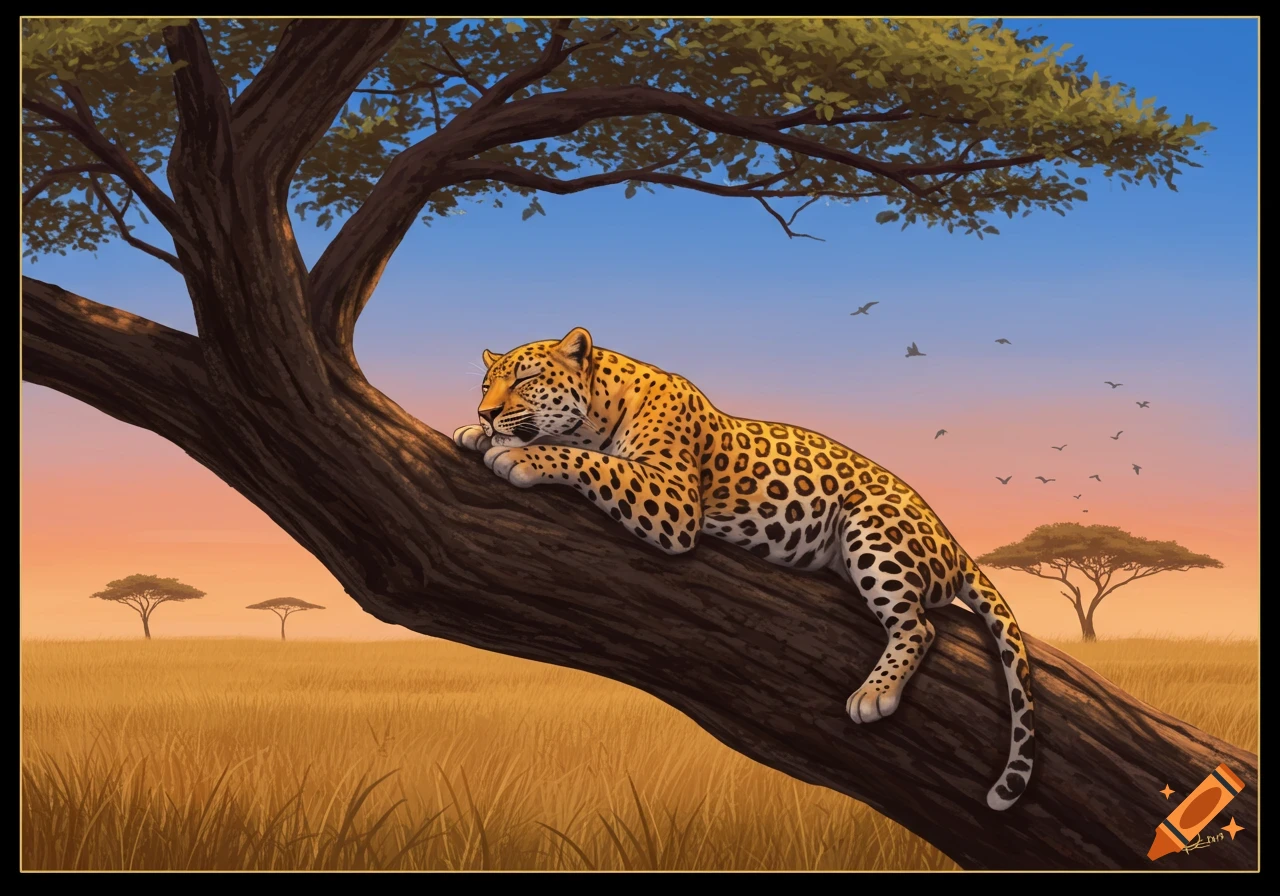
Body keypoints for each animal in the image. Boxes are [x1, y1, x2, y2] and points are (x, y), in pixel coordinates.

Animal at [454, 327, 1036, 810]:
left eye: (525, 379)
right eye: (485, 384)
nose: (485, 413)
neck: (601, 408)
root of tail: (953, 543)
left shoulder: (674, 499)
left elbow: (596, 462)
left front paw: (521, 456)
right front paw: (474, 434)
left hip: (874, 526)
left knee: (919, 624)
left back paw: (876, 694)